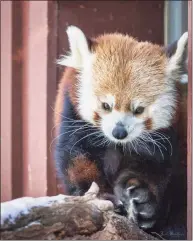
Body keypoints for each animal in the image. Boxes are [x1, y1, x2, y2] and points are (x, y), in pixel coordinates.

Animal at [53, 26, 188, 235]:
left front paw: (143, 200)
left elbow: (152, 167)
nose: (119, 133)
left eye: (138, 109)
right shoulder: (72, 117)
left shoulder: (164, 136)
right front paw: (101, 196)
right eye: (106, 105)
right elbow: (77, 159)